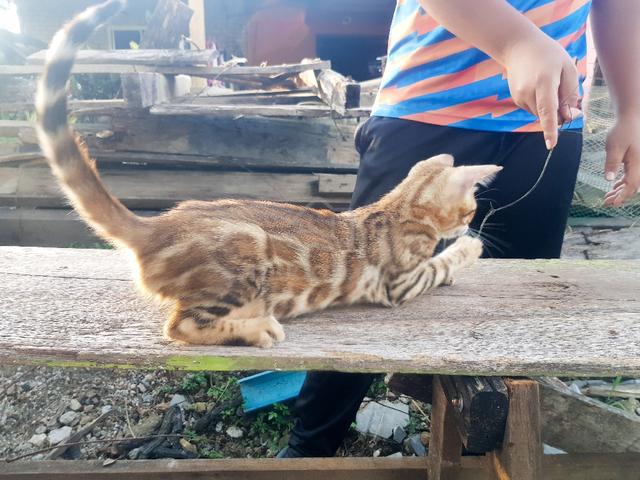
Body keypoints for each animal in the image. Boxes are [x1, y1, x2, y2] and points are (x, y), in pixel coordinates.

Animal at [37, 0, 502, 344]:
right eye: (470, 209)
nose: (469, 223)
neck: (401, 206)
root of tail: (155, 228)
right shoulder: (400, 282)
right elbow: (442, 263)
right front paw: (470, 246)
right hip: (245, 259)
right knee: (180, 326)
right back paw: (257, 329)